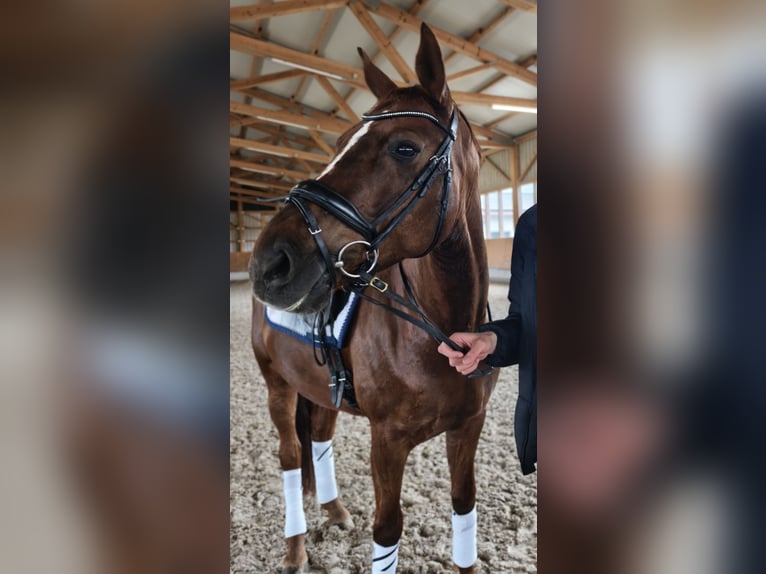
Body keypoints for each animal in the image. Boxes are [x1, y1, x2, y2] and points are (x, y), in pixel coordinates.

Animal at [249, 24, 499, 573]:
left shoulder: (468, 427)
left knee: (319, 435)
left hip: (318, 388)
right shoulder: (387, 441)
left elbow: (465, 506)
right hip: (278, 385)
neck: (440, 329)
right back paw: (295, 549)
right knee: (289, 456)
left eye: (405, 147)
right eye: (341, 142)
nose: (269, 264)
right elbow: (388, 529)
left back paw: (336, 511)